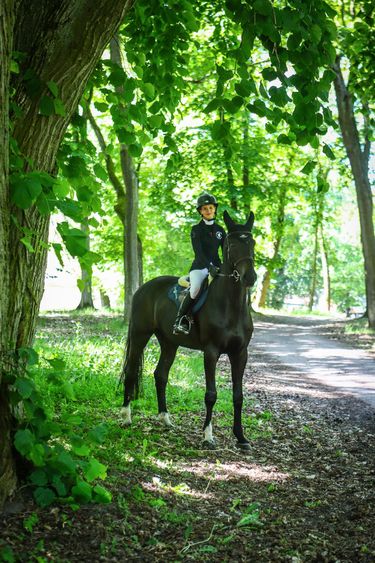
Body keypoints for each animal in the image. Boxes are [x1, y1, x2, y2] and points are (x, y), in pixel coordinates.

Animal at [122, 209, 258, 452]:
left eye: (252, 242)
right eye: (232, 244)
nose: (249, 277)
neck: (230, 305)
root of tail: (143, 288)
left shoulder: (240, 353)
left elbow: (238, 396)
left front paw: (241, 437)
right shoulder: (211, 352)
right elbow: (211, 394)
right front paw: (208, 436)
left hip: (169, 342)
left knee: (160, 375)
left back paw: (165, 418)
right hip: (140, 335)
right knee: (130, 371)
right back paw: (126, 416)